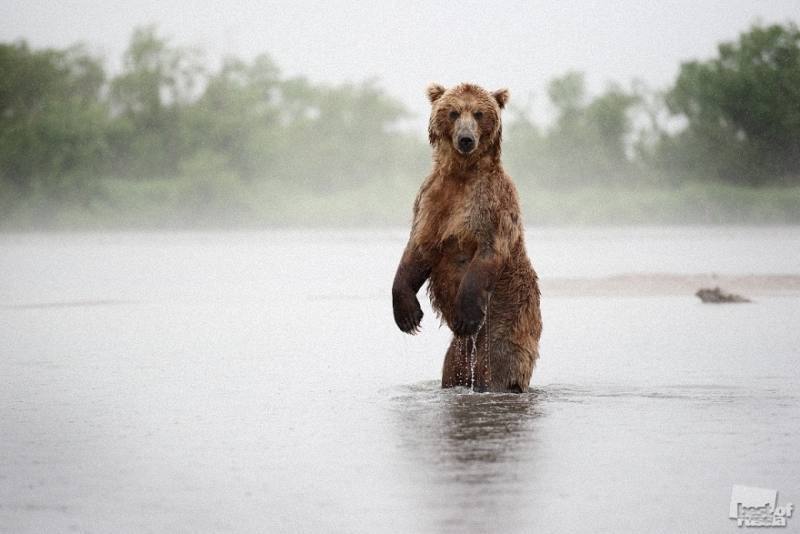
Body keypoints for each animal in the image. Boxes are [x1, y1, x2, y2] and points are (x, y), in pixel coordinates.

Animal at [390, 82, 540, 394]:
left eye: (480, 113)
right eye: (454, 112)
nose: (466, 139)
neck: (461, 174)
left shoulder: (491, 204)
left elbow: (487, 252)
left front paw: (467, 315)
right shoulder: (431, 201)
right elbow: (417, 250)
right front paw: (408, 314)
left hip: (505, 325)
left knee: (496, 368)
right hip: (458, 353)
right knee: (451, 371)